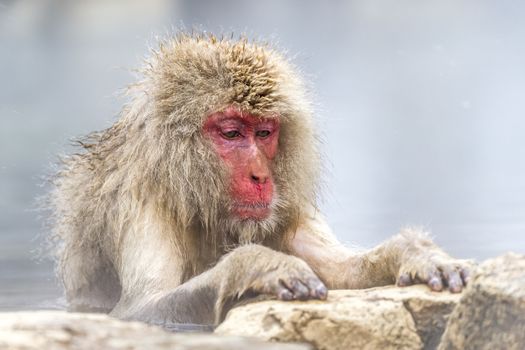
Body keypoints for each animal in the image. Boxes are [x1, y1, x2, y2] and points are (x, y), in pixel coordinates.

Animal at [50, 34, 470, 326]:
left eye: (265, 133)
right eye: (232, 134)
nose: (261, 176)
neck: (195, 195)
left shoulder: (286, 205)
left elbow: (340, 271)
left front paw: (414, 252)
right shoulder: (138, 206)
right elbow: (141, 309)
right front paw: (259, 265)